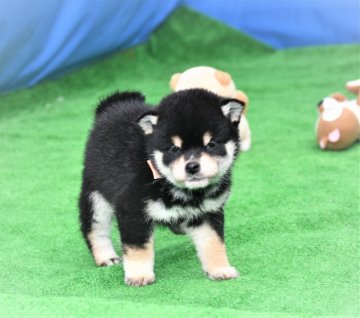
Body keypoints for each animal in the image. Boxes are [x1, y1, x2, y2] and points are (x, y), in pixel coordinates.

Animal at [79, 89, 245, 286]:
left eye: (211, 144)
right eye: (174, 149)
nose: (192, 166)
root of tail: (112, 106)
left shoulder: (209, 213)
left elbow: (214, 244)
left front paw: (220, 269)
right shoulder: (132, 211)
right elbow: (138, 248)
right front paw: (139, 275)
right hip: (96, 198)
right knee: (94, 230)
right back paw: (106, 257)